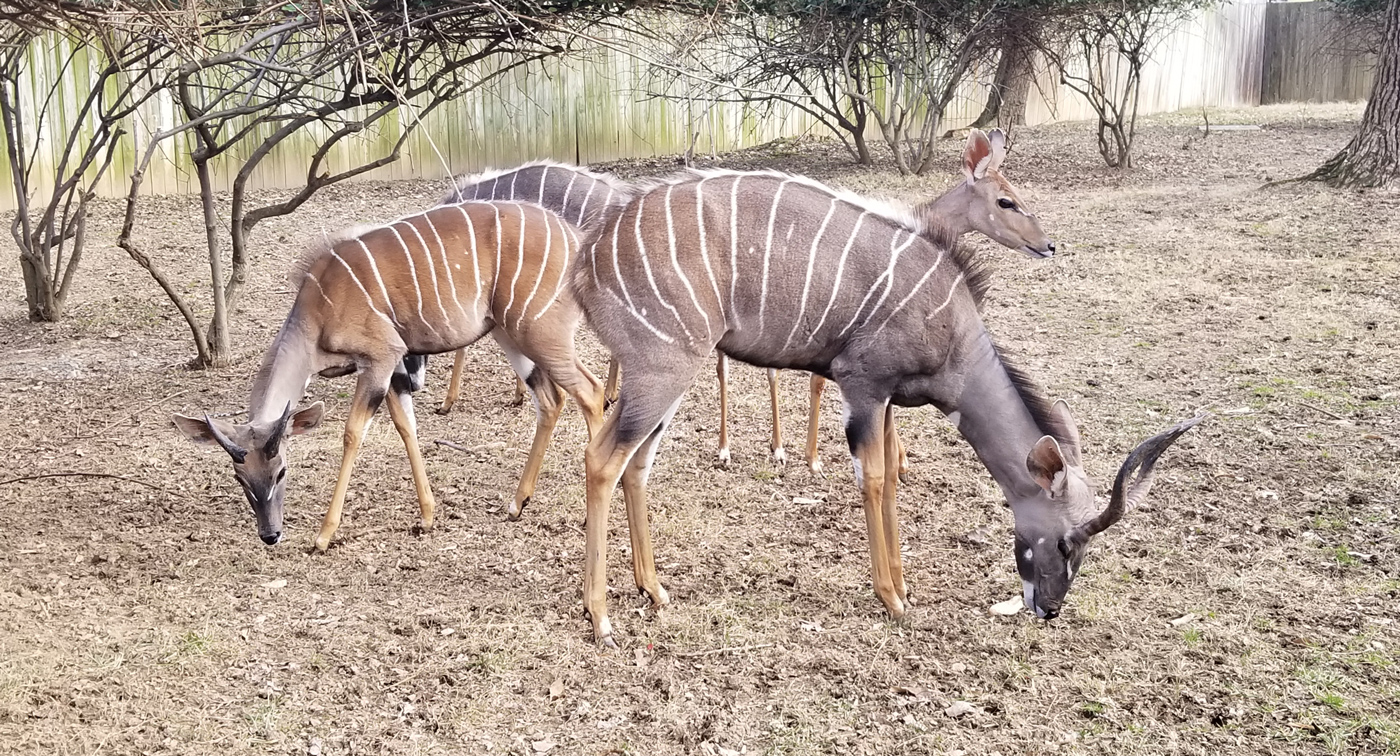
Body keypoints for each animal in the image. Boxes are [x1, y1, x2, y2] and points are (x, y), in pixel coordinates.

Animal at [173, 197, 602, 546]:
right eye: (240, 479)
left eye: (281, 471)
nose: (269, 534)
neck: (317, 312)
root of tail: (574, 238)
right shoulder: (394, 367)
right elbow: (405, 426)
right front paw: (426, 517)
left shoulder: (380, 357)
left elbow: (352, 434)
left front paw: (323, 535)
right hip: (510, 333)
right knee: (552, 398)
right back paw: (517, 503)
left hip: (538, 331)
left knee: (591, 392)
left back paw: (588, 514)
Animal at [568, 166, 1204, 644]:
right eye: (1069, 542)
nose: (1049, 608)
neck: (952, 330)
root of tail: (587, 261)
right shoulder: (864, 388)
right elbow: (873, 479)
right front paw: (892, 598)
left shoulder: (891, 400)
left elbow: (893, 482)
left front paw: (904, 585)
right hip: (664, 369)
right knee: (601, 459)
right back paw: (600, 617)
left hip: (666, 380)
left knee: (636, 464)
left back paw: (653, 588)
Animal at [716, 130, 1052, 473]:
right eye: (1005, 201)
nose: (1047, 245)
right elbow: (823, 385)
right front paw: (815, 458)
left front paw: (898, 458)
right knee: (725, 370)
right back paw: (727, 449)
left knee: (766, 372)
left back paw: (776, 446)